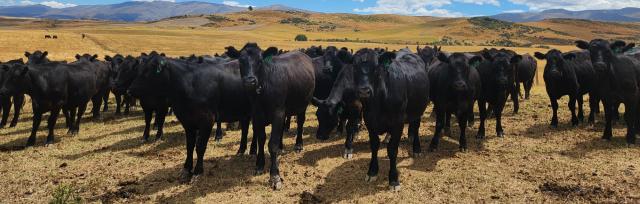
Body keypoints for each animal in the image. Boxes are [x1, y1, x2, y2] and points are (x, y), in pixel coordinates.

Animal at [232, 42, 318, 190]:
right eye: (240, 61)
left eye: (260, 61)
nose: (250, 81)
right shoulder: (257, 115)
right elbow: (261, 139)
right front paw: (259, 165)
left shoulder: (278, 113)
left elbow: (272, 144)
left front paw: (275, 176)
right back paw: (281, 148)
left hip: (303, 104)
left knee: (300, 122)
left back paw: (298, 145)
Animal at [350, 48, 430, 191]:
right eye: (354, 67)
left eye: (376, 68)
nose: (364, 91)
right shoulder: (370, 122)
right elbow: (374, 146)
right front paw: (372, 171)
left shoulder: (397, 124)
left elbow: (392, 150)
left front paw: (393, 179)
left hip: (418, 111)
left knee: (416, 128)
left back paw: (417, 149)